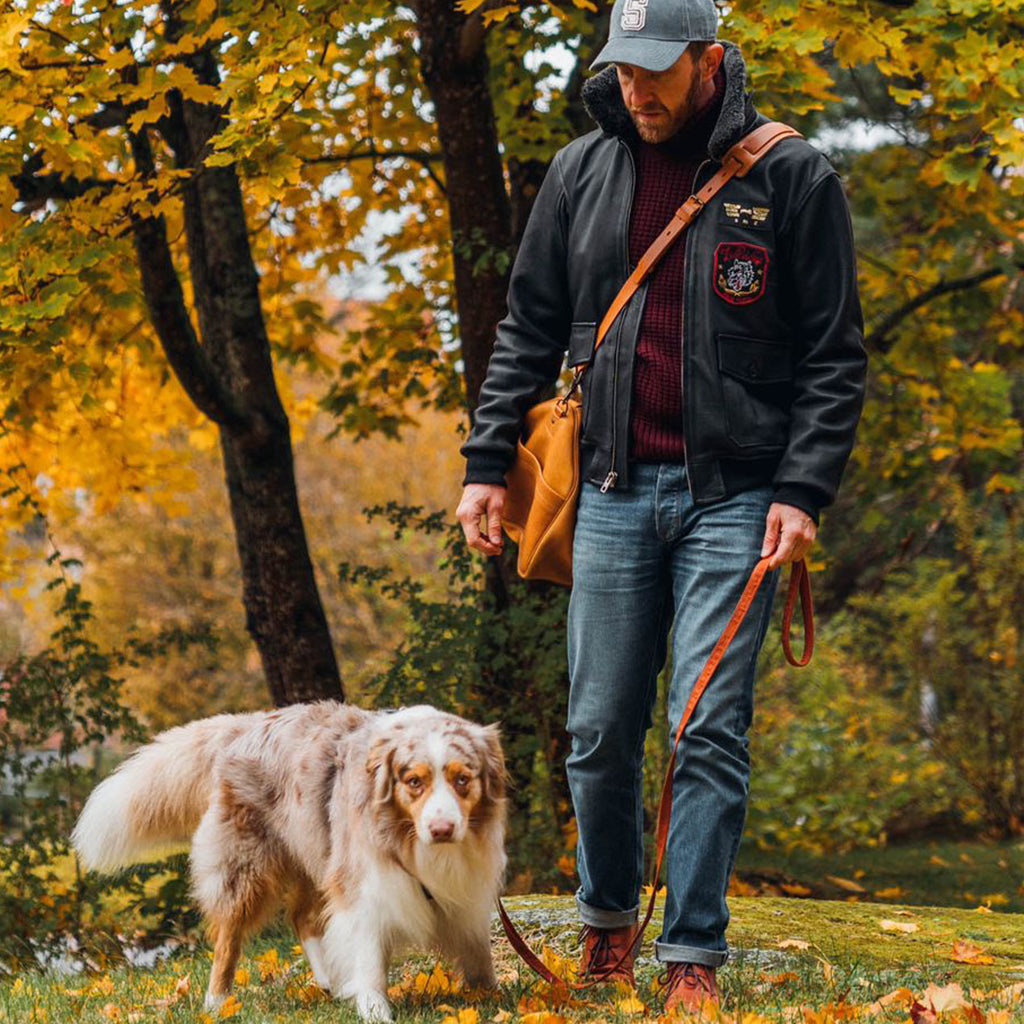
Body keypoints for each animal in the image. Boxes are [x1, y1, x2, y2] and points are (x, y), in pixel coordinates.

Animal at [70, 700, 509, 1019]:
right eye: (413, 781)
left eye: (463, 779)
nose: (442, 829)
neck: (408, 837)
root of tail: (244, 724)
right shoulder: (364, 885)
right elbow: (368, 955)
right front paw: (375, 1010)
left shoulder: (466, 891)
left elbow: (477, 951)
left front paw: (493, 998)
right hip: (247, 868)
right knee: (229, 937)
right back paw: (216, 1003)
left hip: (313, 854)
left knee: (301, 917)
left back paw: (329, 979)